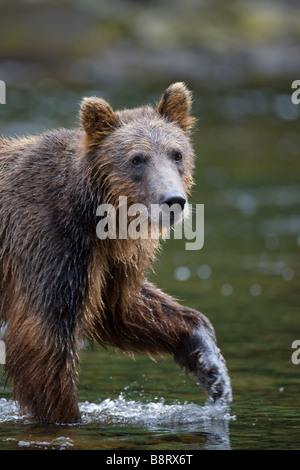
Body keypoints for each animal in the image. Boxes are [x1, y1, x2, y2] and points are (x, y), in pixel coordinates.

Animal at [0, 82, 232, 424]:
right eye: (137, 159)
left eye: (177, 153)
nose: (173, 200)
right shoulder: (49, 241)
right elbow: (43, 337)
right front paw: (68, 416)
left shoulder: (108, 260)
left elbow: (120, 307)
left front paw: (211, 365)